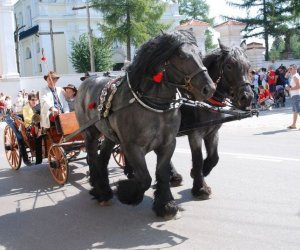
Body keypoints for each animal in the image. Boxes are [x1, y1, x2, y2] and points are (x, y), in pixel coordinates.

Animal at [75, 29, 216, 219]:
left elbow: (161, 173)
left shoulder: (168, 143)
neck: (154, 105)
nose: (209, 88)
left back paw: (104, 189)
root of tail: (87, 80)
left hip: (110, 135)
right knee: (92, 158)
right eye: (181, 55)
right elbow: (145, 178)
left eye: (200, 54)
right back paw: (100, 190)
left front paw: (166, 205)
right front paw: (126, 192)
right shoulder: (131, 146)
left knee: (102, 158)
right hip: (90, 132)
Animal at [169, 40, 253, 198]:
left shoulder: (213, 132)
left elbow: (214, 158)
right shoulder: (195, 134)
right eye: (229, 65)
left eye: (249, 66)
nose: (247, 97)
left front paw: (201, 172)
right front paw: (200, 187)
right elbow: (198, 159)